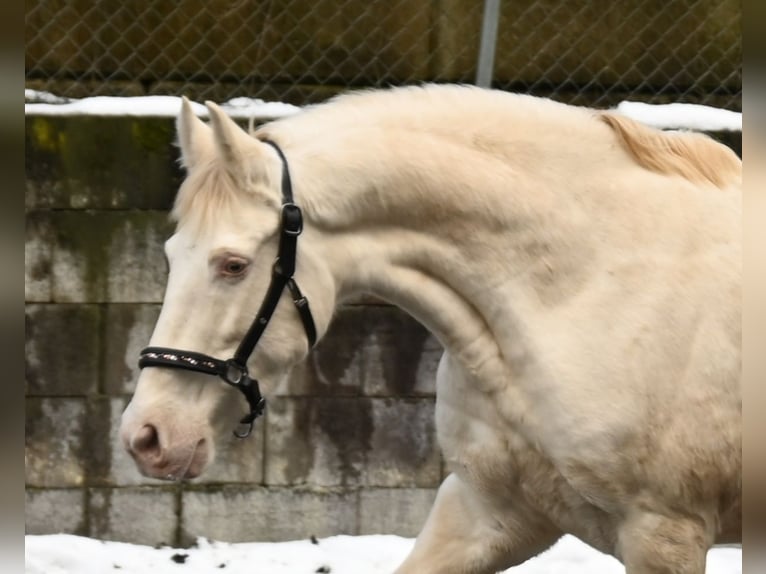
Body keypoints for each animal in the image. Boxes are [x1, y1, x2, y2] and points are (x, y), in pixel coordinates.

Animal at [121, 83, 744, 572]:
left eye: (233, 265)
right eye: (170, 255)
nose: (146, 437)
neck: (581, 288)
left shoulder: (663, 533)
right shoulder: (489, 512)